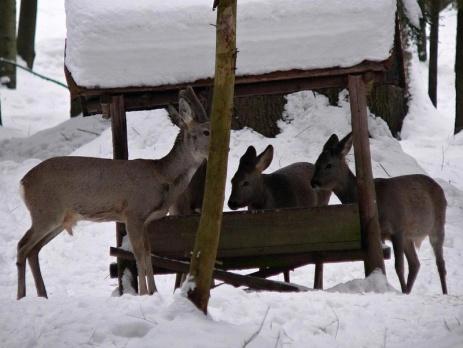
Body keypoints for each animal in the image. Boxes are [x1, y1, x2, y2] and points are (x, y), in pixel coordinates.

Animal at [16, 87, 210, 300]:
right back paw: (21, 296)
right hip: (46, 212)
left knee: (33, 249)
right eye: (206, 131)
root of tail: (23, 183)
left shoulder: (146, 220)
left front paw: (154, 292)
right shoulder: (133, 213)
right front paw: (143, 293)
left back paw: (42, 294)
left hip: (58, 219)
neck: (162, 176)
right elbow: (139, 254)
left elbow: (148, 253)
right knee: (22, 246)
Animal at [312, 133, 450, 294]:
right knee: (415, 264)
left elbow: (399, 267)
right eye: (316, 162)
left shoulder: (397, 227)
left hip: (437, 225)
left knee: (440, 263)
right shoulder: (384, 234)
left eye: (328, 164)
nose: (313, 182)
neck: (376, 202)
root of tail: (440, 189)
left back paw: (443, 292)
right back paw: (408, 291)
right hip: (409, 236)